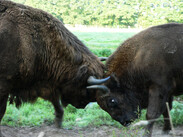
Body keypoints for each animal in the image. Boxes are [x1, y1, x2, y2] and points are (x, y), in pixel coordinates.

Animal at [0, 0, 104, 135]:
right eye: (85, 86)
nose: (83, 105)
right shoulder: (4, 85)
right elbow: (2, 111)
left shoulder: (44, 84)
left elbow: (55, 101)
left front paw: (58, 122)